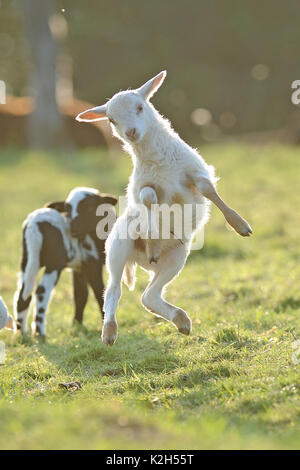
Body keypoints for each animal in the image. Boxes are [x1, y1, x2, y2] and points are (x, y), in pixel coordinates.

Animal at [76, 71, 252, 346]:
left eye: (140, 107)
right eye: (112, 120)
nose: (131, 132)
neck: (159, 160)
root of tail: (141, 262)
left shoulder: (194, 171)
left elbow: (208, 190)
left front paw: (240, 225)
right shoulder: (142, 187)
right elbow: (149, 198)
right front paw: (152, 239)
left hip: (177, 257)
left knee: (149, 296)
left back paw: (181, 320)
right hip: (117, 249)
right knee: (114, 289)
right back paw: (109, 331)